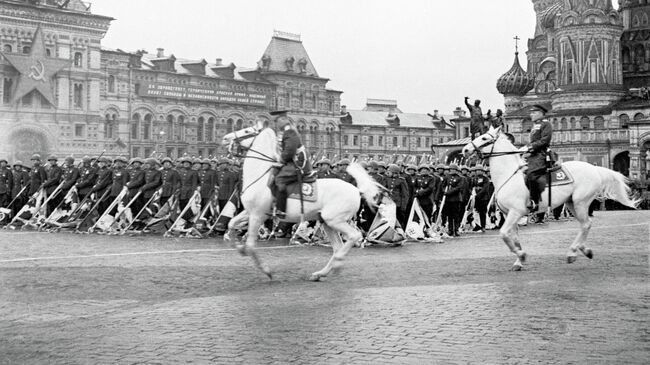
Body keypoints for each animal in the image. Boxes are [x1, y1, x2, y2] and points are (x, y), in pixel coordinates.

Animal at [220, 121, 382, 280]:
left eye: (247, 131)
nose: (226, 138)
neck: (260, 177)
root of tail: (356, 190)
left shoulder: (257, 215)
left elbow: (250, 245)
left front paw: (266, 270)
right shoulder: (250, 212)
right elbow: (231, 223)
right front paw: (237, 246)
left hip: (335, 220)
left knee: (354, 236)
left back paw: (337, 262)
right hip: (327, 222)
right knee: (337, 247)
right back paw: (321, 273)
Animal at [460, 126, 636, 270]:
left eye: (484, 138)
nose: (465, 150)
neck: (509, 176)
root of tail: (594, 168)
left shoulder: (516, 212)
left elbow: (504, 234)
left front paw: (521, 255)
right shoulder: (509, 214)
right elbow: (514, 237)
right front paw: (519, 260)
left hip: (581, 202)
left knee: (586, 224)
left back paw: (573, 253)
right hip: (571, 204)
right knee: (585, 224)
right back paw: (584, 250)